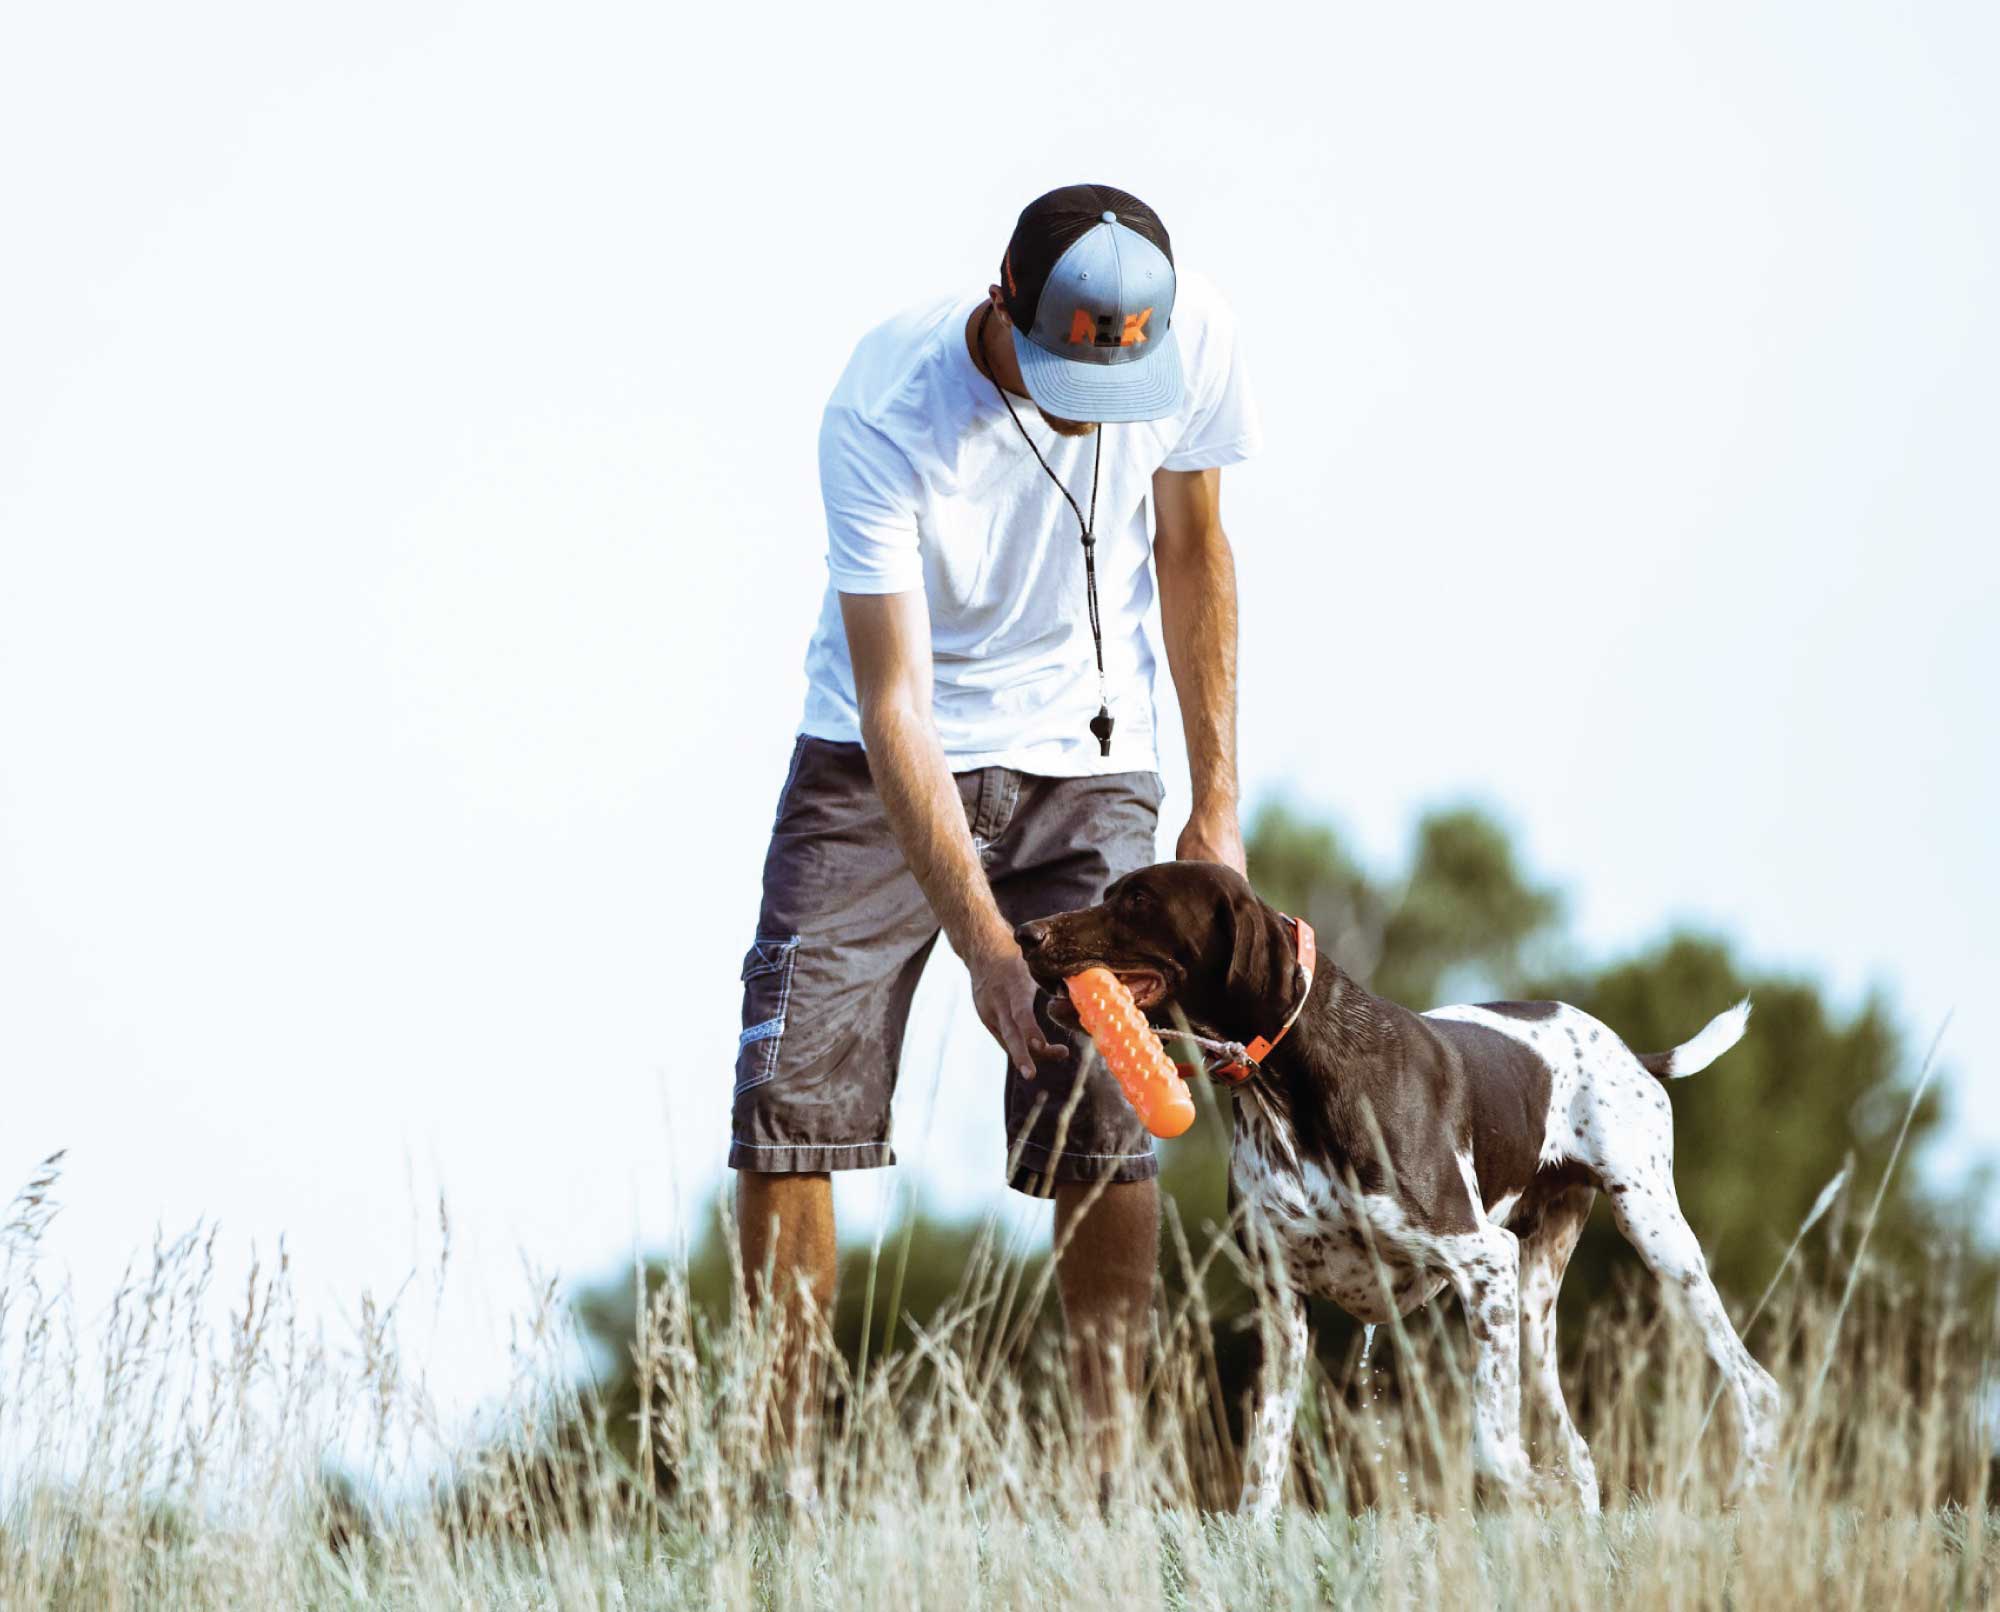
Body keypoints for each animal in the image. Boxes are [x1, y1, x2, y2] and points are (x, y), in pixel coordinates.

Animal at [1024, 864, 1776, 1520]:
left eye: (1138, 899)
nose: (1027, 932)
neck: (1293, 1080)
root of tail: (1631, 1054)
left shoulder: (1483, 1259)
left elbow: (1495, 1446)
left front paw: (1527, 1491)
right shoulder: (1283, 1305)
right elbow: (1264, 1460)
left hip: (1655, 1239)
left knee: (1757, 1388)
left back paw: (1748, 1498)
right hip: (1536, 1305)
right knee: (1584, 1453)